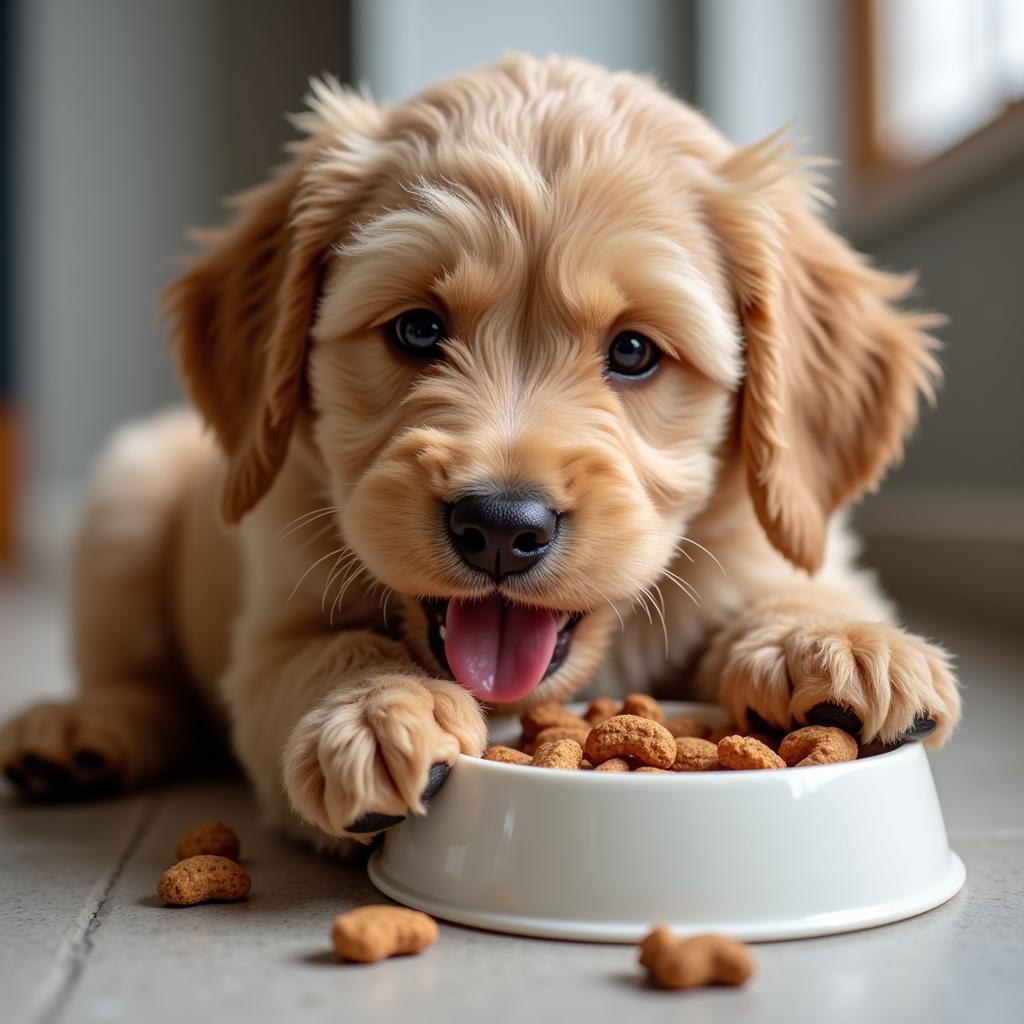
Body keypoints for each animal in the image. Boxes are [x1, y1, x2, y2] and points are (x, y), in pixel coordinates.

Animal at [0, 51, 958, 843]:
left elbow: (796, 589)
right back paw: (82, 730)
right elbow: (325, 651)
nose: (501, 525)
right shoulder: (271, 628)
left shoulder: (780, 540)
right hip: (125, 498)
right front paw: (377, 712)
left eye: (634, 351)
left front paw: (835, 644)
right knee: (138, 675)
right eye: (418, 330)